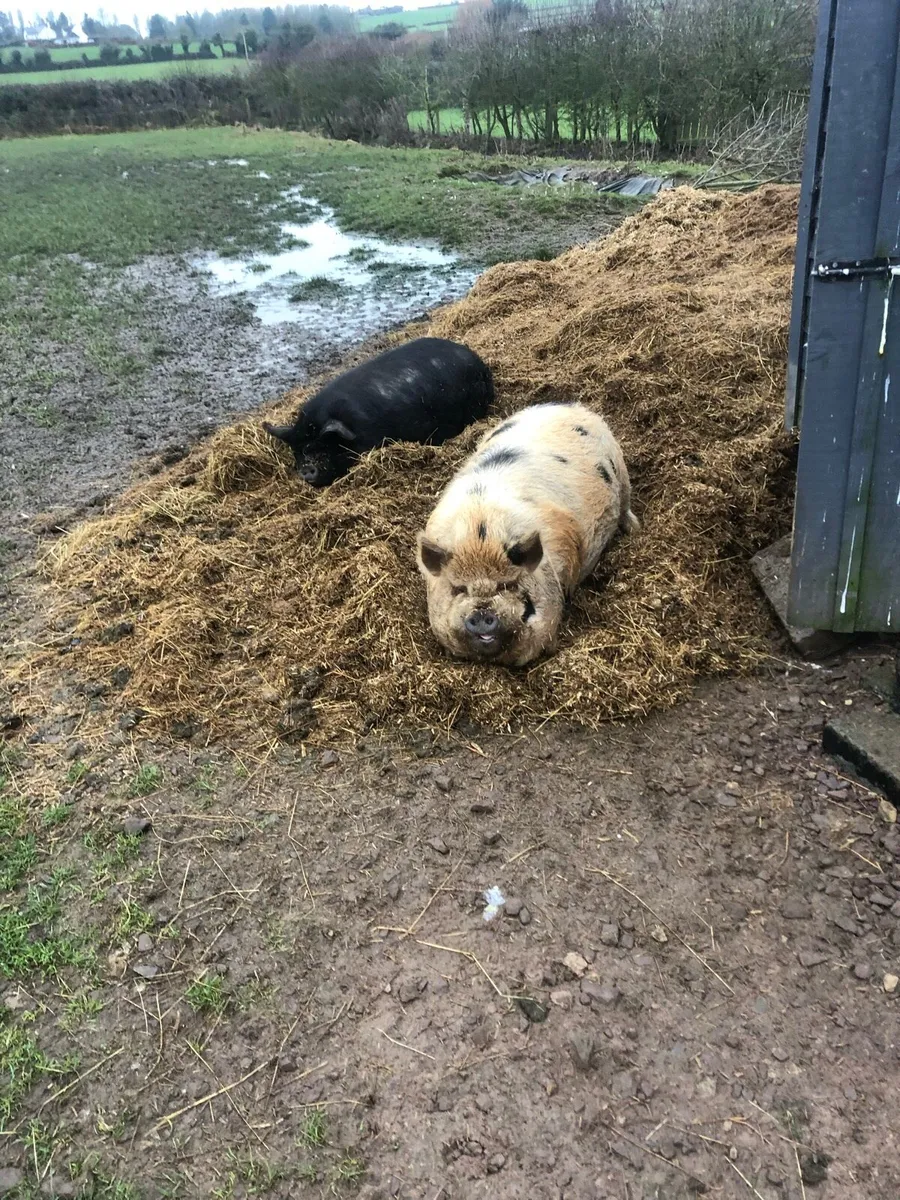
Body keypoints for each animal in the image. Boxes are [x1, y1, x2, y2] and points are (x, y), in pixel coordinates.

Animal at [416, 402, 639, 666]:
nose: (482, 612)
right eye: (458, 589)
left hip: (622, 473)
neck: (482, 534)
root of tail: (568, 405)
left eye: (508, 585)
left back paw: (634, 528)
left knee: (626, 506)